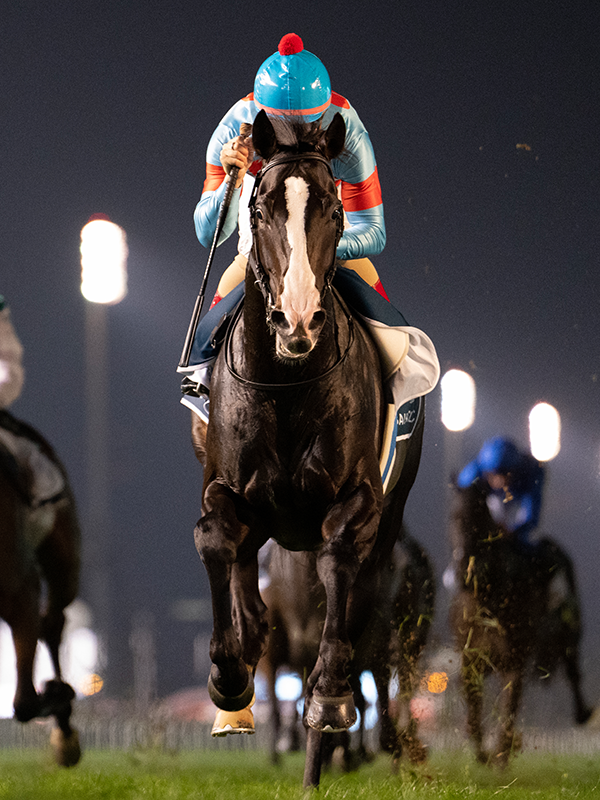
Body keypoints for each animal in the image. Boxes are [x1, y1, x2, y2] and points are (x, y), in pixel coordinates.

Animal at [449, 480, 592, 767]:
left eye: (477, 516)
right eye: (452, 517)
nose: (462, 570)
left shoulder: (514, 662)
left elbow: (509, 708)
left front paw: (503, 752)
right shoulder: (471, 661)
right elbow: (473, 712)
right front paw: (484, 752)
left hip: (567, 633)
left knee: (572, 668)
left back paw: (583, 711)